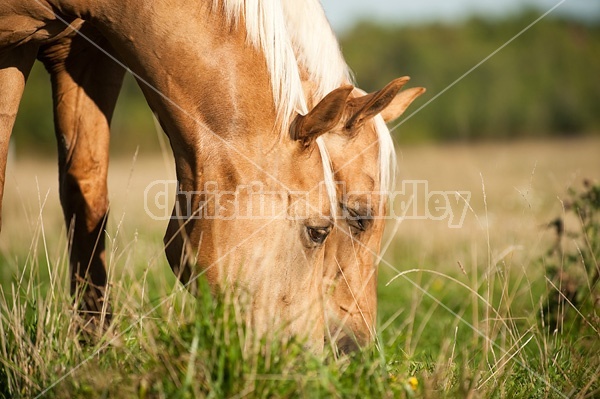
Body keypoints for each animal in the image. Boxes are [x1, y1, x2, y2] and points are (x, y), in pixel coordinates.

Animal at [0, 0, 422, 354]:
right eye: (336, 224)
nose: (353, 349)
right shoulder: (15, 48)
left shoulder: (89, 56)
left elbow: (87, 196)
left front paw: (94, 347)